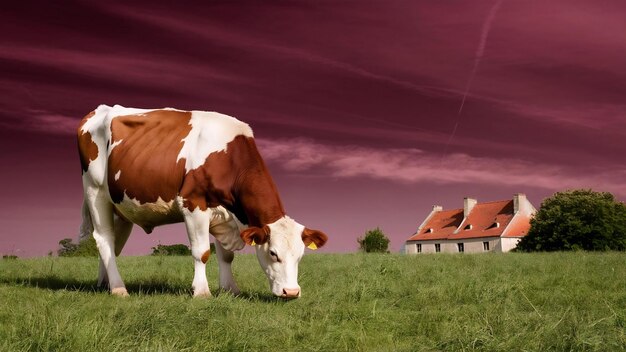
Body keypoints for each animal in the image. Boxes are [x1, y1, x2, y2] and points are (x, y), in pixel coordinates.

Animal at [77, 104, 326, 296]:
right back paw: (119, 289)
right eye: (273, 253)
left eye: (301, 255)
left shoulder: (225, 214)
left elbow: (226, 256)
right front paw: (202, 292)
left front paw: (230, 289)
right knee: (104, 239)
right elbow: (202, 252)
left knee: (114, 246)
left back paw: (105, 284)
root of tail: (100, 109)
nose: (291, 292)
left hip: (121, 207)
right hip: (95, 191)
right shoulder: (194, 204)